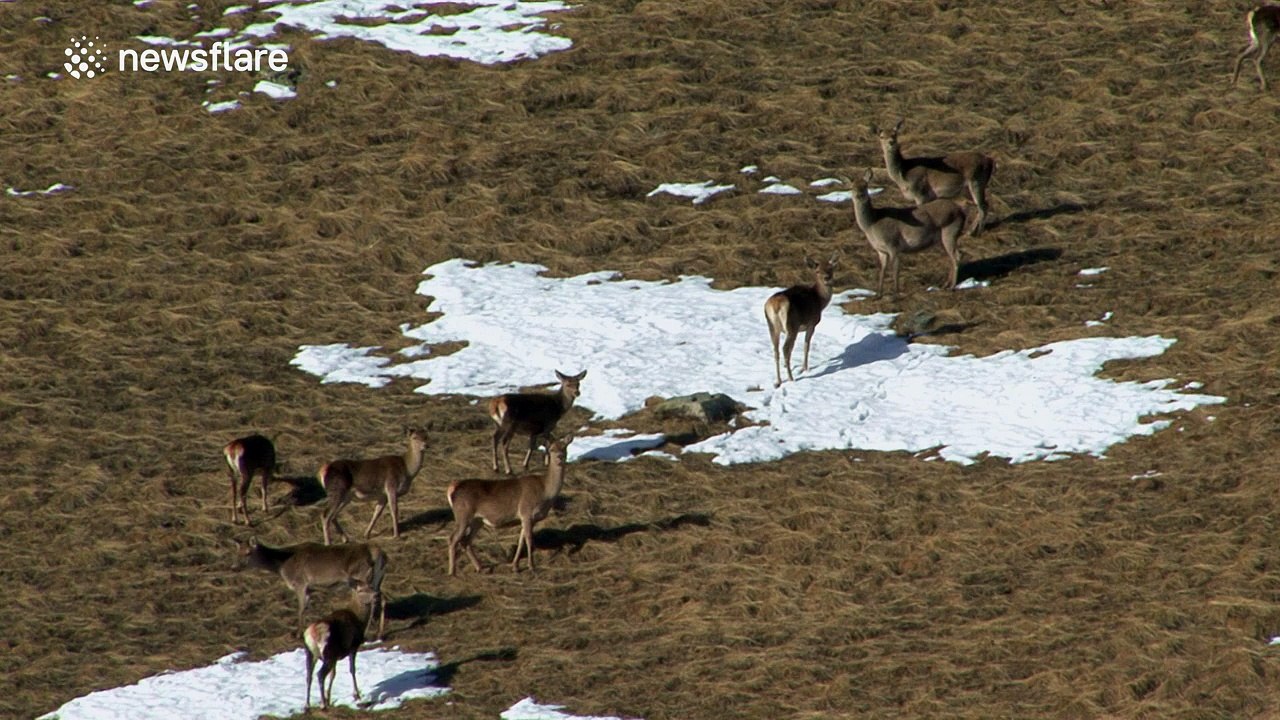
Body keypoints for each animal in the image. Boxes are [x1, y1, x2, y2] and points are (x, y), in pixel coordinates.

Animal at [240, 538, 387, 640]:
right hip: (378, 578)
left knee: (372, 601)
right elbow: (305, 608)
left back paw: (368, 632)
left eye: (248, 553)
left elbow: (300, 608)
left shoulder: (300, 583)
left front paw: (297, 634)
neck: (282, 567)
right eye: (239, 552)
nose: (236, 567)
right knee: (382, 598)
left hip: (362, 577)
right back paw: (379, 633)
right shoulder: (309, 589)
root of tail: (379, 553)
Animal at [446, 435, 573, 575]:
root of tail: (452, 489)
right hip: (463, 515)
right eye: (551, 449)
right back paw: (452, 572)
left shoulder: (527, 518)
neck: (545, 491)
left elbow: (521, 541)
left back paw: (480, 568)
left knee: (465, 541)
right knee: (452, 539)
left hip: (477, 520)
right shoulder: (526, 512)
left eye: (564, 447)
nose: (560, 457)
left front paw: (515, 566)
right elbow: (529, 540)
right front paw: (531, 566)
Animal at [764, 253, 839, 388]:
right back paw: (790, 378)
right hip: (791, 326)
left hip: (772, 326)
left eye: (831, 269)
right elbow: (806, 345)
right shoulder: (812, 323)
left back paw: (778, 381)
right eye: (817, 271)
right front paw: (805, 368)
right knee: (785, 349)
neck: (820, 301)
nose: (826, 278)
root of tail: (776, 305)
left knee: (776, 350)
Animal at [849, 169, 969, 298]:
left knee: (957, 255)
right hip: (946, 236)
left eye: (865, 186)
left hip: (950, 231)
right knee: (953, 256)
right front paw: (878, 294)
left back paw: (952, 287)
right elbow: (882, 269)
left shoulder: (893, 243)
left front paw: (895, 294)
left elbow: (895, 268)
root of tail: (961, 212)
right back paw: (945, 285)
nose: (859, 195)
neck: (872, 224)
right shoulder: (880, 250)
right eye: (852, 187)